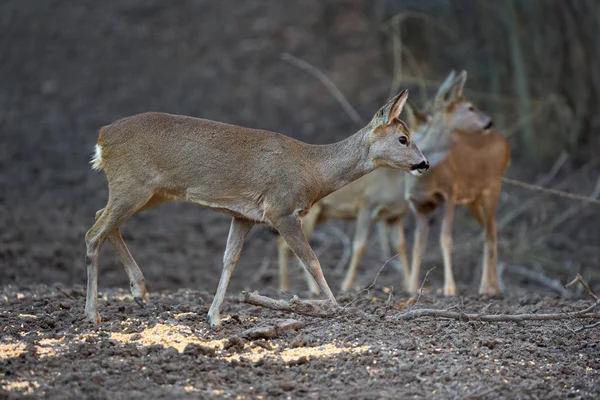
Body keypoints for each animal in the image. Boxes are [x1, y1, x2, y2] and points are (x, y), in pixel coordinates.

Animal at [278, 101, 428, 292]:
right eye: (403, 138)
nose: (424, 163)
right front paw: (346, 285)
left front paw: (409, 286)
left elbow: (400, 246)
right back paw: (304, 290)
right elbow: (359, 245)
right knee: (288, 245)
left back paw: (286, 287)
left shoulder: (394, 216)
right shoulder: (366, 206)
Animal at [404, 71, 510, 296]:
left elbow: (446, 239)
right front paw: (411, 288)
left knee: (490, 231)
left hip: (493, 186)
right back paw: (493, 286)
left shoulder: (449, 194)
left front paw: (449, 288)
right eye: (470, 107)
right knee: (490, 228)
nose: (489, 121)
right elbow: (418, 244)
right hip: (473, 199)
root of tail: (505, 143)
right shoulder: (419, 205)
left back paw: (487, 287)